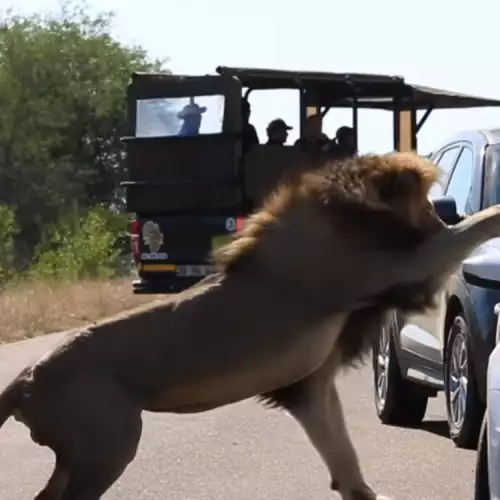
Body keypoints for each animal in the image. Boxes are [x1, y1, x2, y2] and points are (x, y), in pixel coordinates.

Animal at [0, 152, 500, 500]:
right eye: (427, 205)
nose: (443, 214)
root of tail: (24, 380)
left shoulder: (308, 385)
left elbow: (344, 458)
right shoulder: (403, 266)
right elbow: (472, 228)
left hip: (80, 455)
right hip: (109, 445)